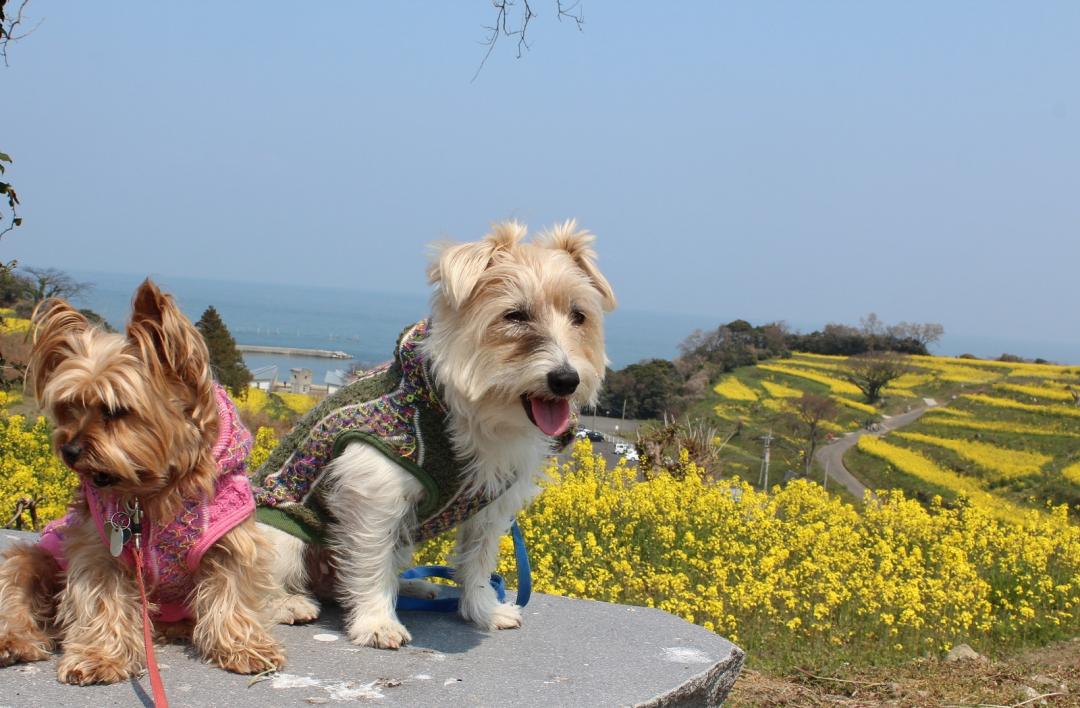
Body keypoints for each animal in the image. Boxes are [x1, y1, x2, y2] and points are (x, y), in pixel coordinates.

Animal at [262, 221, 617, 647]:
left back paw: (414, 587)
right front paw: (376, 621)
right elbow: (370, 560)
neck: (474, 414)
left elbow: (478, 561)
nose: (566, 379)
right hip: (279, 535)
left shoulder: (491, 502)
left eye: (579, 316)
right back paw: (288, 603)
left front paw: (483, 611)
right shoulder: (374, 491)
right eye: (515, 315)